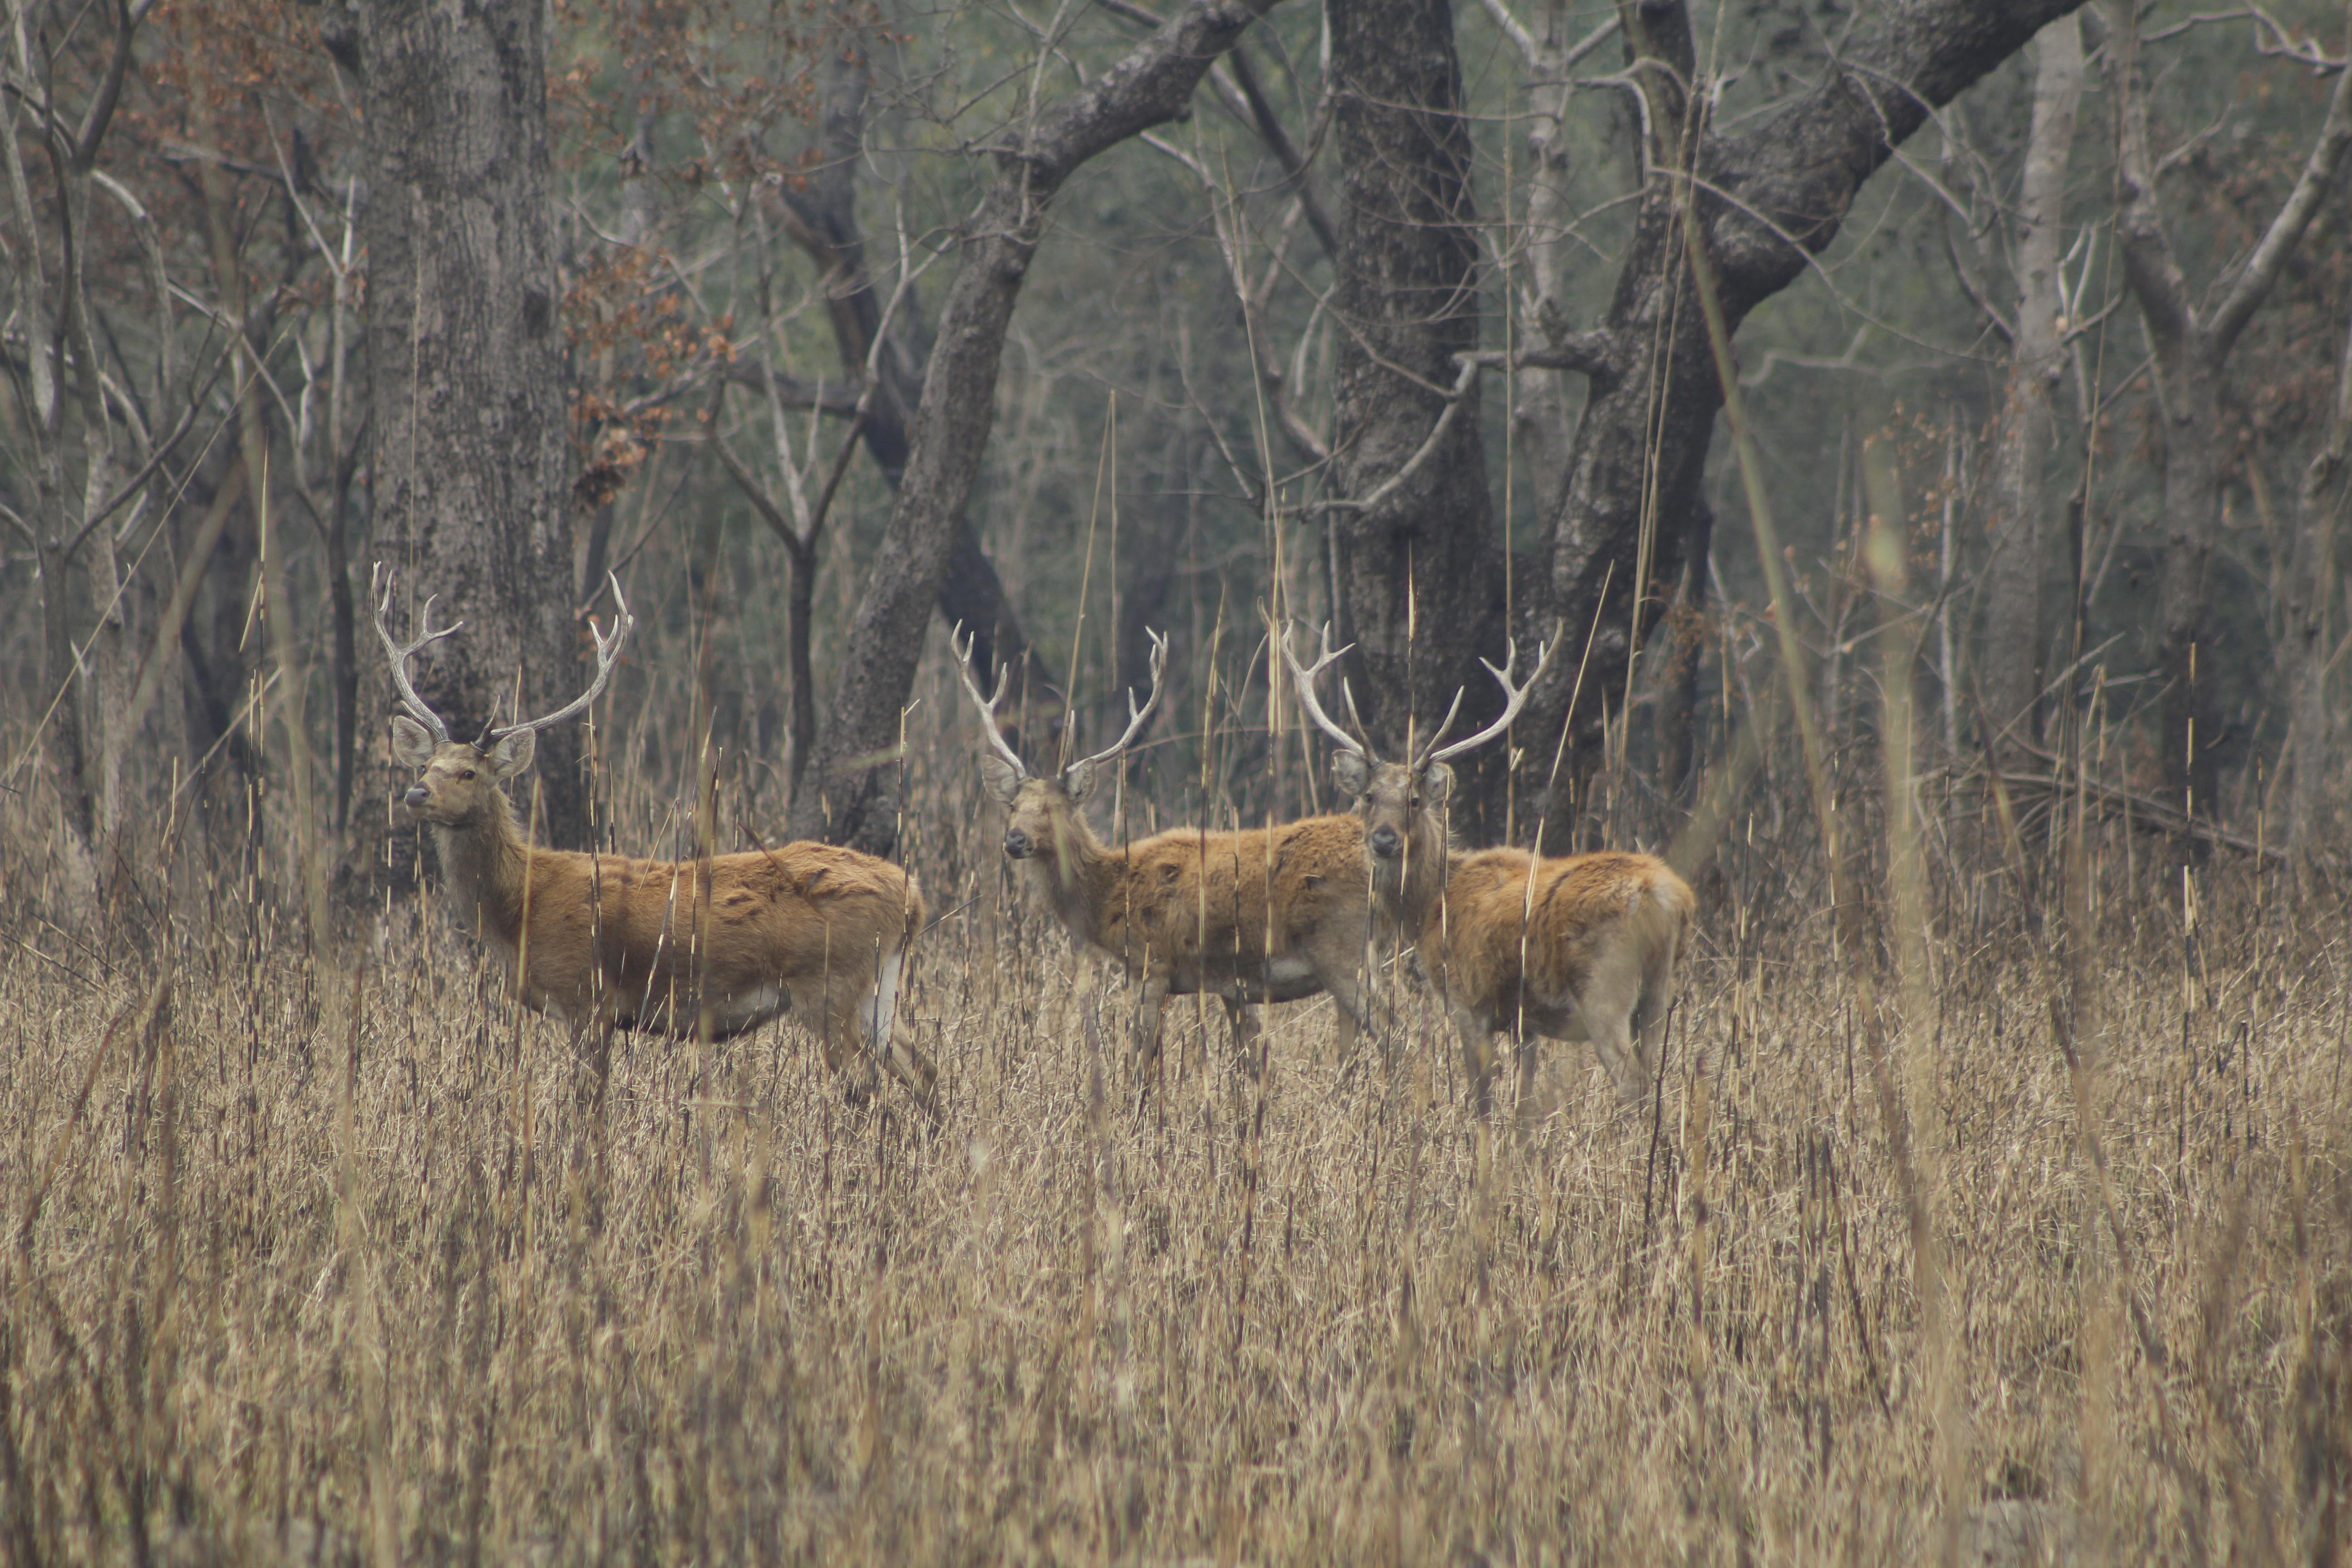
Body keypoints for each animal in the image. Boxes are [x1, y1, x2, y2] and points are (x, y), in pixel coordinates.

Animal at [376, 564, 936, 1114]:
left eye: (469, 772)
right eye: (426, 764)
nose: (416, 792)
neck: (521, 907)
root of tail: (912, 896)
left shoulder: (586, 993)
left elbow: (587, 1100)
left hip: (828, 982)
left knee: (865, 1085)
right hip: (877, 986)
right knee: (924, 1070)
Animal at [955, 620, 1383, 1067]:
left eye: (1054, 808)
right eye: (1013, 805)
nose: (1014, 840)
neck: (1109, 893)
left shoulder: (1151, 962)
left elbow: (1139, 1062)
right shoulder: (1232, 985)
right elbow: (1253, 1060)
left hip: (1344, 948)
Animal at [1289, 625, 1693, 1114]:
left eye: (1414, 801)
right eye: (1368, 797)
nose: (1384, 840)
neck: (1429, 907)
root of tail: (1666, 895)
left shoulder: (1468, 1000)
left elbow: (1481, 1098)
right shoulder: (1524, 1023)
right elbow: (1522, 1103)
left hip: (1605, 987)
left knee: (1634, 1085)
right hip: (1658, 990)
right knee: (1655, 1080)